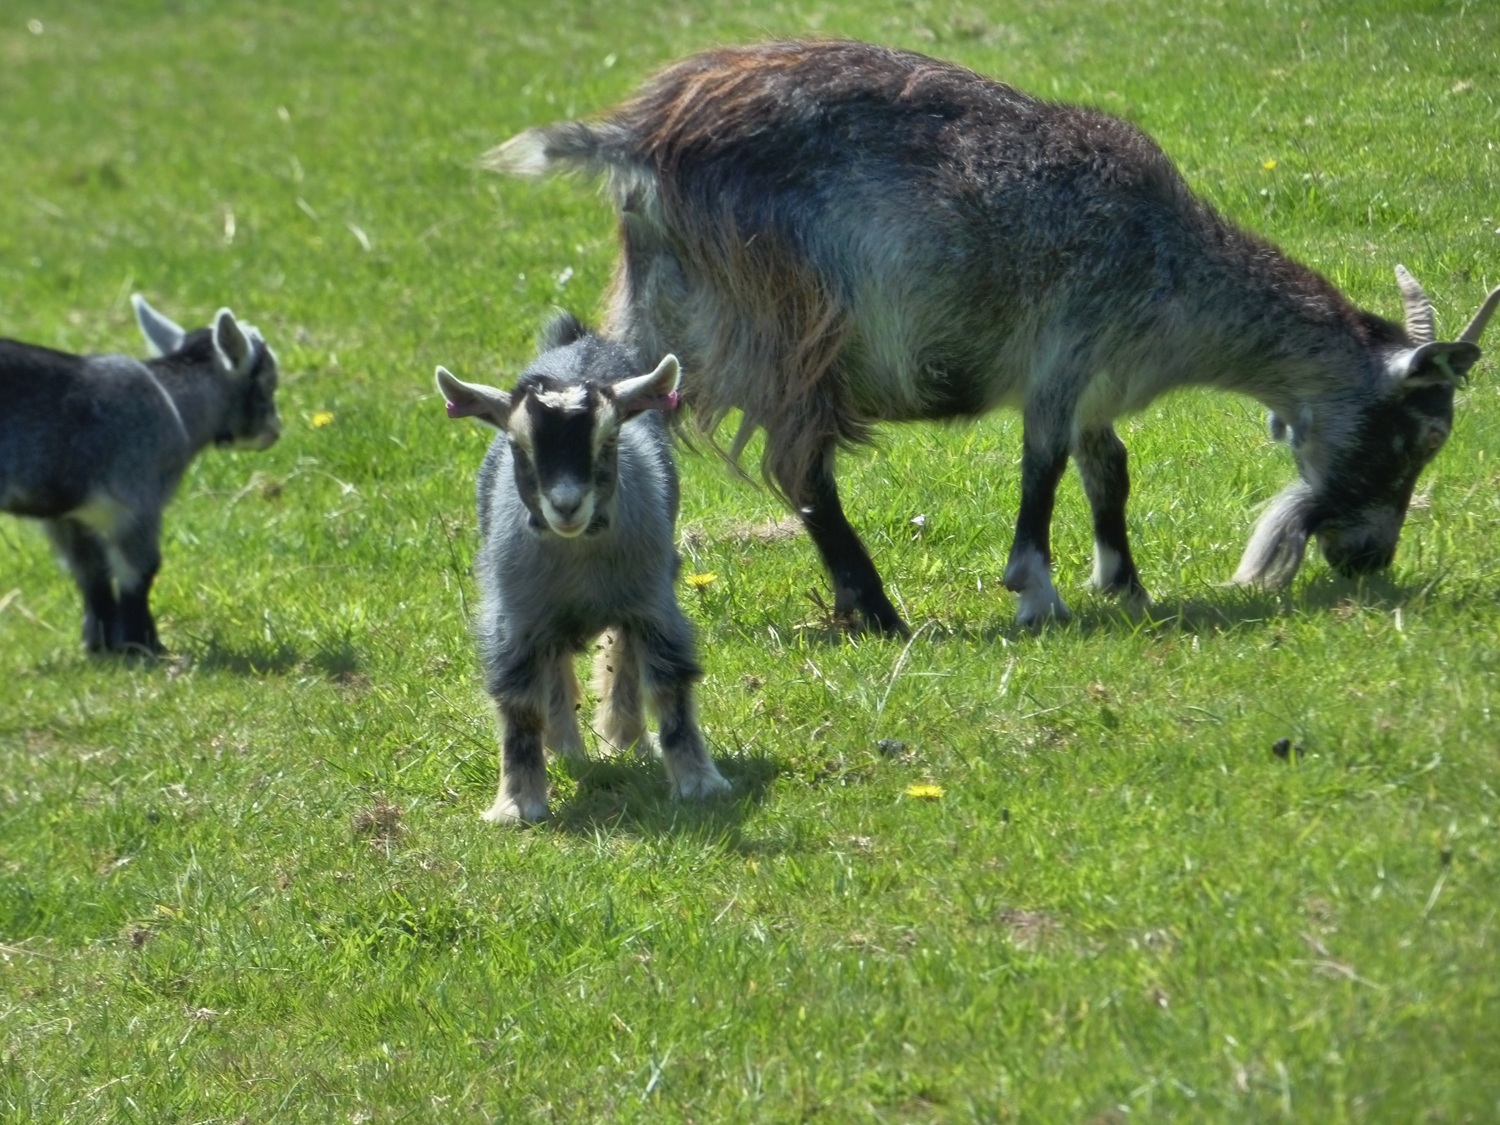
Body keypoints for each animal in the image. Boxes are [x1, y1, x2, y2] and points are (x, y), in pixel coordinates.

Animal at [0, 296, 281, 654]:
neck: (175, 403)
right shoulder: (138, 501)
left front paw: (100, 645)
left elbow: (91, 572)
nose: (275, 431)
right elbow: (141, 571)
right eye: (269, 382)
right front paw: (144, 645)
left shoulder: (69, 516)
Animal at [436, 313, 730, 824]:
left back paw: (625, 741)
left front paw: (699, 784)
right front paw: (518, 805)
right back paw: (566, 748)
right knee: (555, 669)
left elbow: (669, 683)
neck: (579, 565)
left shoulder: (653, 604)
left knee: (621, 657)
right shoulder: (515, 619)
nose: (566, 506)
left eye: (608, 440)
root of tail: (579, 343)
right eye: (517, 444)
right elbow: (520, 705)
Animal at [489, 39, 1499, 635]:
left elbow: (1108, 471)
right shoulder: (1062, 349)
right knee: (804, 471)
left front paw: (1123, 581)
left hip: (664, 310)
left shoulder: (1095, 383)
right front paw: (1037, 590)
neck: (1167, 263)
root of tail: (636, 141)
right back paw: (876, 609)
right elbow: (1043, 468)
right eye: (1419, 434)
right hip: (781, 322)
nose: (1368, 560)